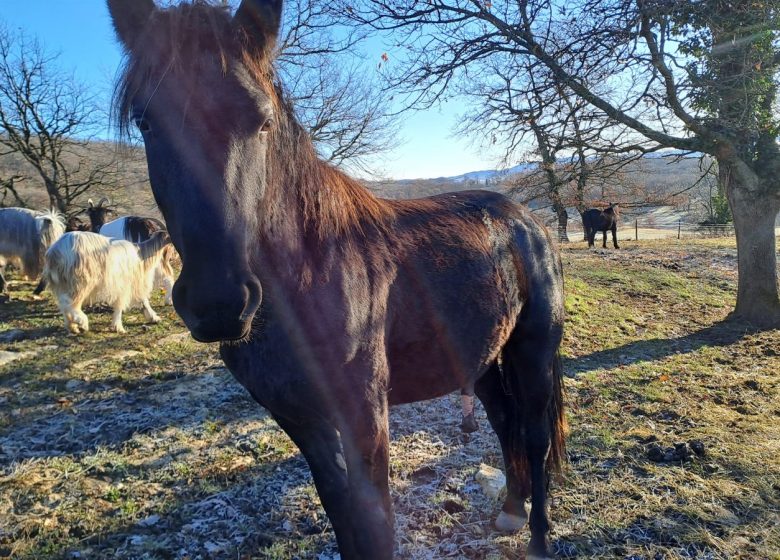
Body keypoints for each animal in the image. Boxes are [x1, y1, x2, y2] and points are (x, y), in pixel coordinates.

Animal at [43, 229, 171, 332]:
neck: (141, 257)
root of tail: (54, 253)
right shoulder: (124, 284)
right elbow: (121, 304)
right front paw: (118, 327)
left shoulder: (133, 283)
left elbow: (143, 300)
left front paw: (153, 317)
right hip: (81, 280)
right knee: (69, 302)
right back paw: (82, 322)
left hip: (63, 282)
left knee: (63, 303)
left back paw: (72, 326)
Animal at [105, 2, 568, 556]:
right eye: (146, 122)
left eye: (262, 121)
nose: (219, 304)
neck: (309, 276)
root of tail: (526, 220)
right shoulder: (301, 420)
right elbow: (343, 514)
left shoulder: (364, 416)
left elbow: (375, 522)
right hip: (478, 356)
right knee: (504, 420)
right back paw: (511, 510)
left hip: (532, 351)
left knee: (535, 436)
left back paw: (538, 535)